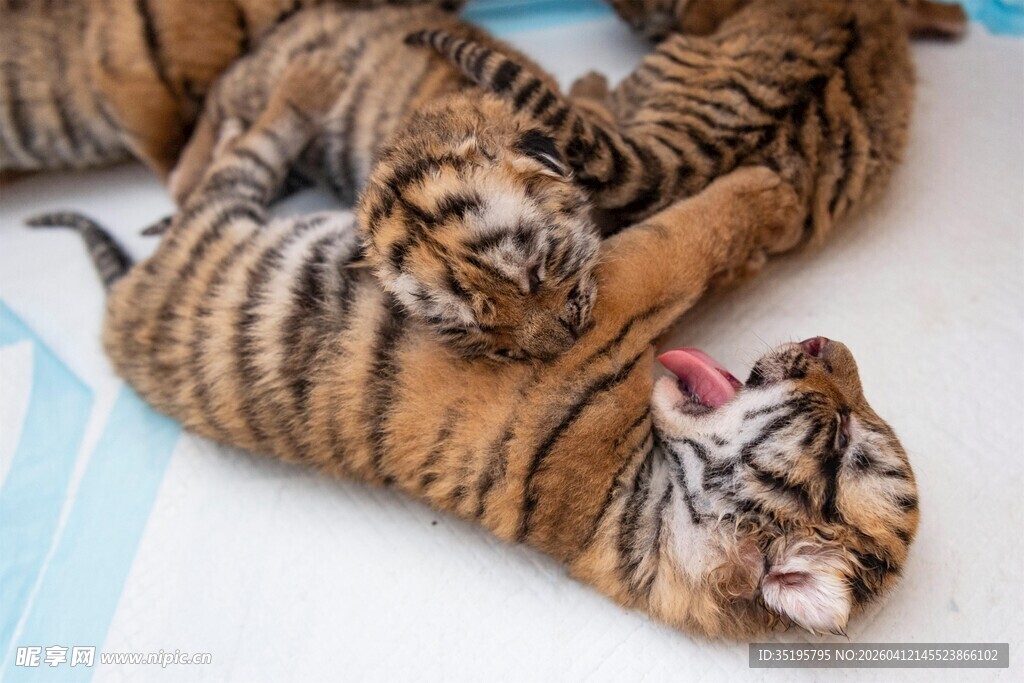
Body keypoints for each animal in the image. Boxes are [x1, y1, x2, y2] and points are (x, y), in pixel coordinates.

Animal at [29, 56, 919, 638]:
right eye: (850, 429)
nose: (831, 345)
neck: (646, 507)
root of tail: (122, 301)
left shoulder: (608, 304)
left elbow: (689, 231)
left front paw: (770, 193)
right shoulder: (621, 293)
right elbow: (687, 234)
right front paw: (772, 190)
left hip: (223, 213)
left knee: (226, 161)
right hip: (225, 210)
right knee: (226, 157)